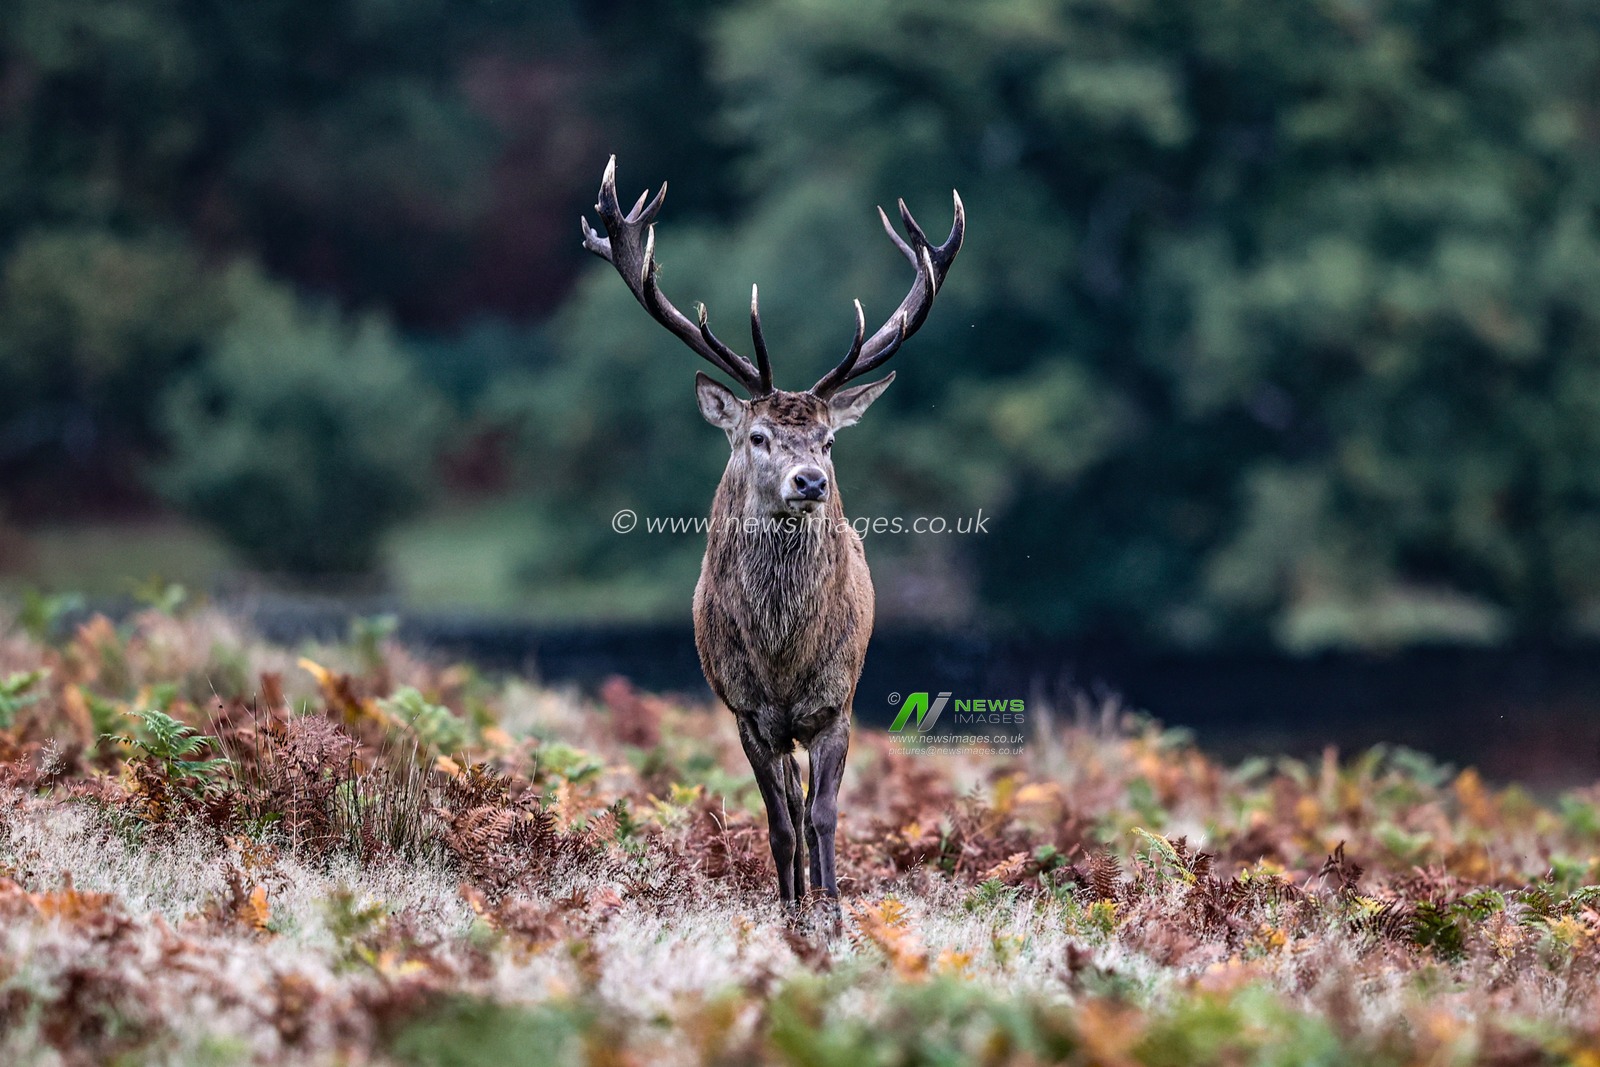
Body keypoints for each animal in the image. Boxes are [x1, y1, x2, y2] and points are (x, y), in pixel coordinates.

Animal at [581, 156, 963, 910]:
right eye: (757, 435)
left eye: (828, 440)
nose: (809, 481)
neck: (782, 657)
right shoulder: (747, 713)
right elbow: (780, 823)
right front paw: (789, 909)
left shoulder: (837, 701)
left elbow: (824, 814)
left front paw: (832, 910)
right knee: (785, 804)